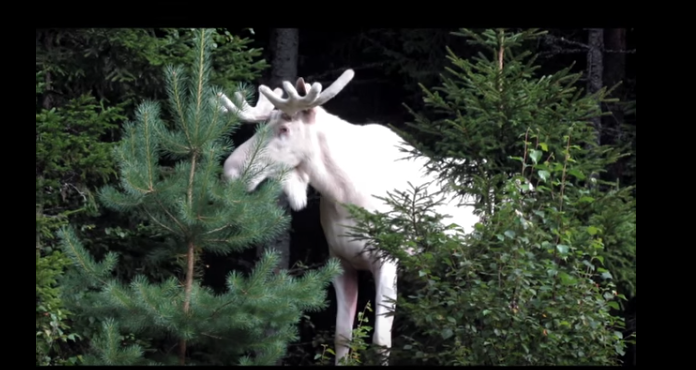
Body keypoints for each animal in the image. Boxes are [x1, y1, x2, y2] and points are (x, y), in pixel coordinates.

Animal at [220, 68, 482, 364]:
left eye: (284, 129)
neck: (344, 194)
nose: (230, 170)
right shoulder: (341, 262)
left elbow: (381, 341)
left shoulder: (387, 259)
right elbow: (342, 337)